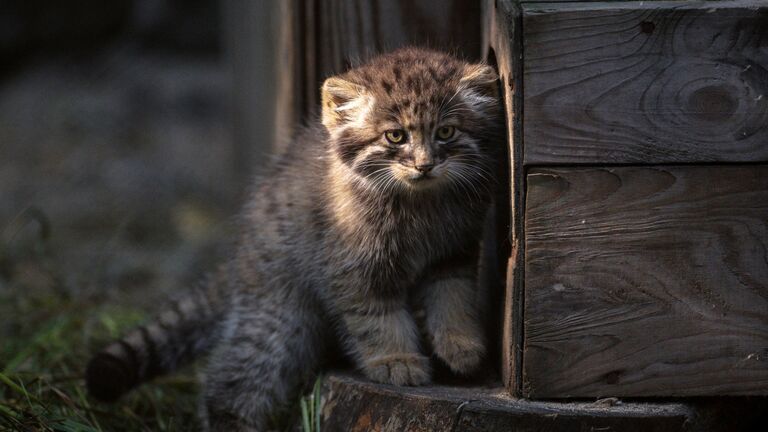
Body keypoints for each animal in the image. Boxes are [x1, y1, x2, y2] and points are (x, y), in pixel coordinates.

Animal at [87, 46, 504, 428]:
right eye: (396, 136)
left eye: (446, 132)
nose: (424, 165)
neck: (419, 205)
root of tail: (240, 254)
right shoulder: (352, 269)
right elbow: (376, 319)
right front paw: (394, 359)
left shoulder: (453, 253)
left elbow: (453, 297)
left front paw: (461, 345)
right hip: (277, 316)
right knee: (233, 381)